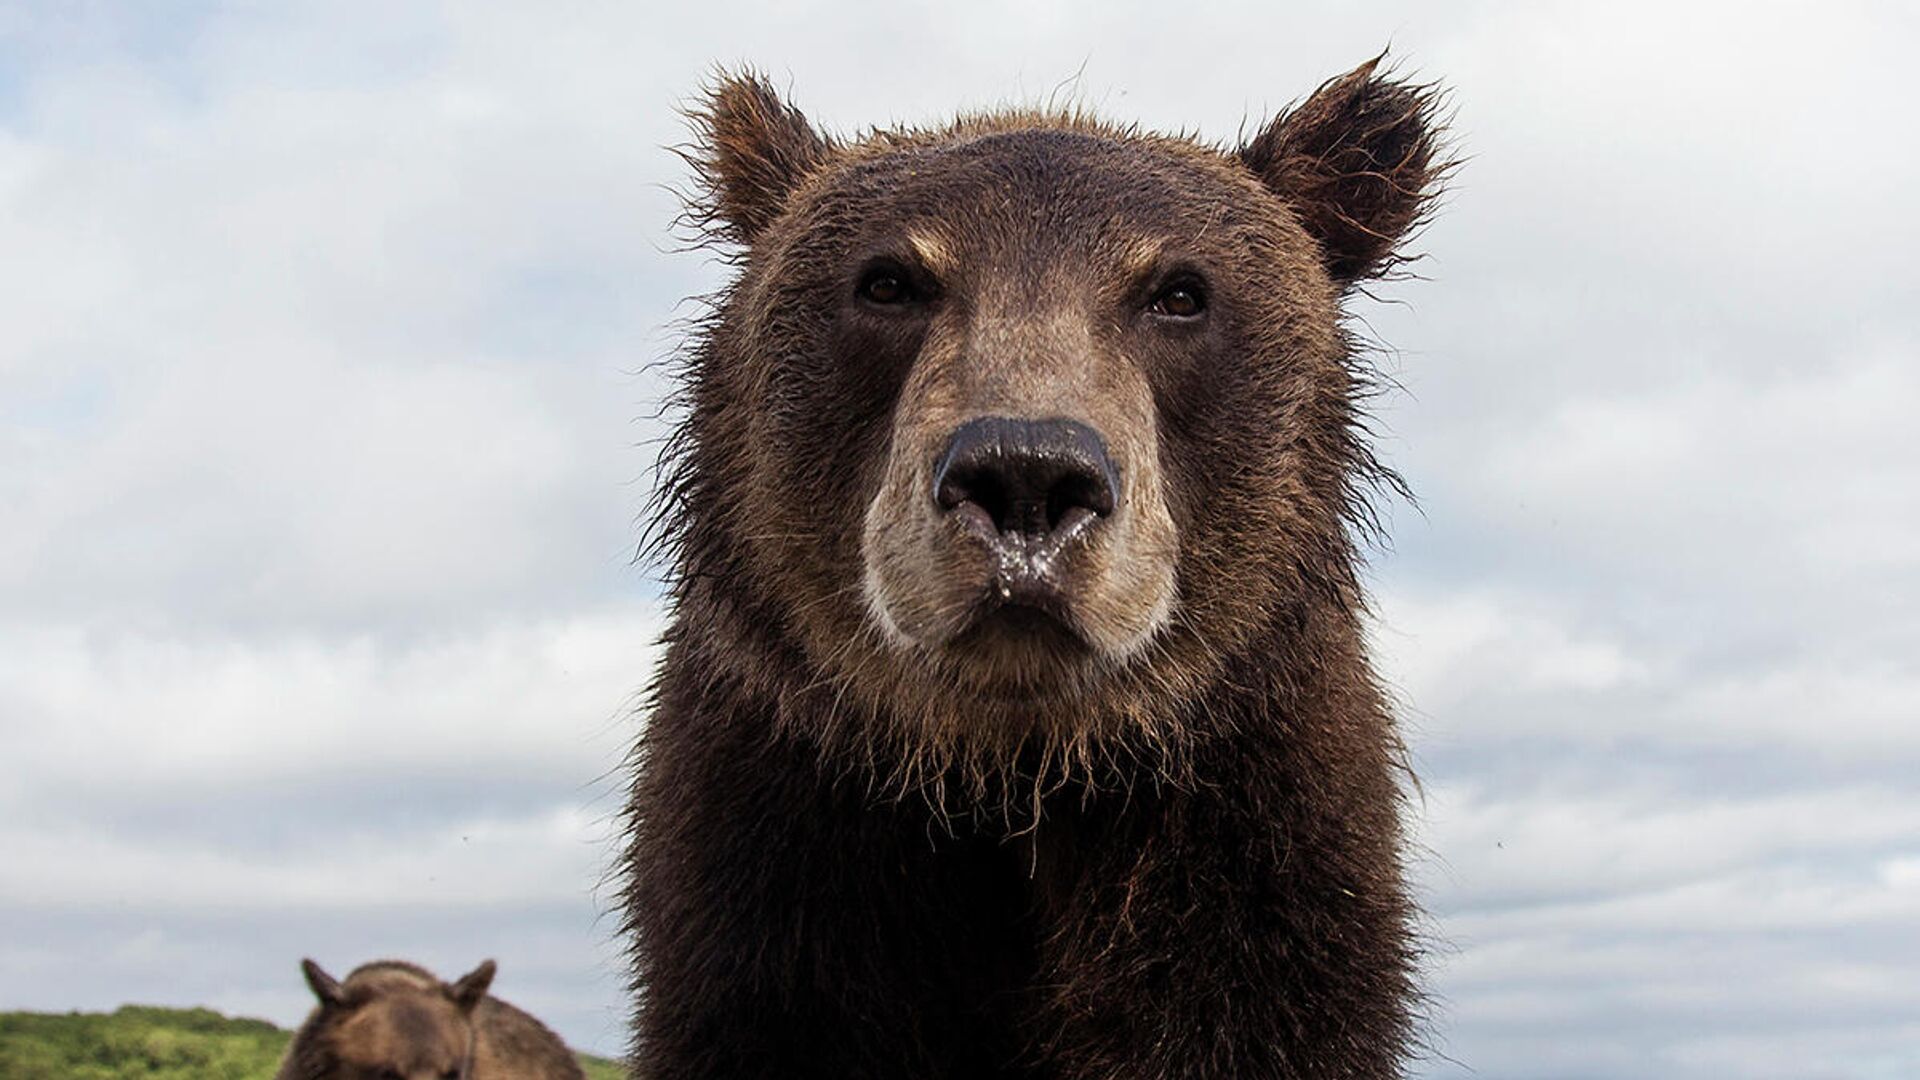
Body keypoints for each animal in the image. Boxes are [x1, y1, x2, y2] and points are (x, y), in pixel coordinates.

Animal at [622, 56, 1443, 1076]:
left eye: (1179, 291)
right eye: (889, 281)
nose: (1025, 477)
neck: (1019, 776)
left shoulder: (1257, 854)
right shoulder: (775, 851)